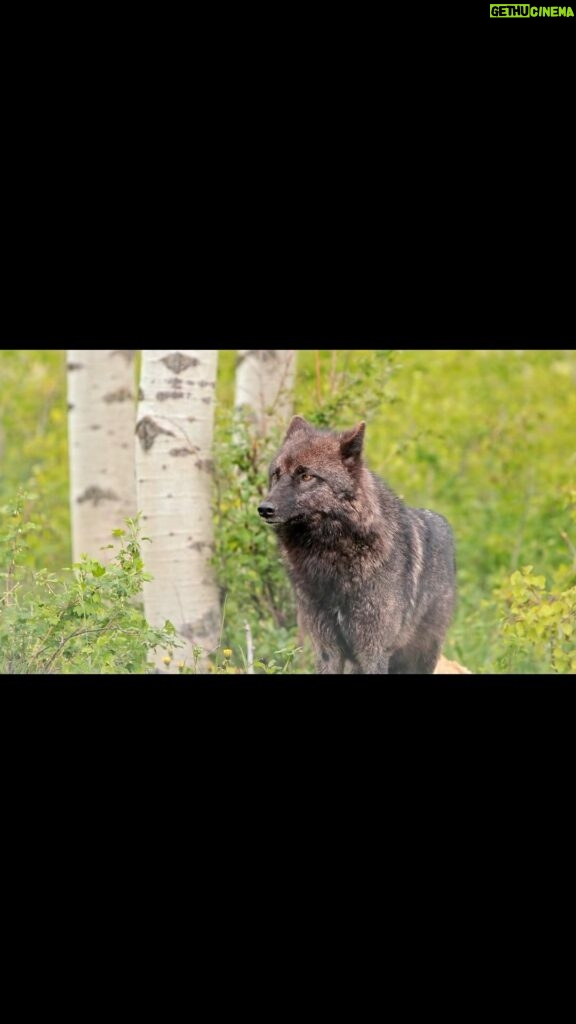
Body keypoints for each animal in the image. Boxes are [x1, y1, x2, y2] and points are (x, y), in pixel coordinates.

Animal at [258, 411, 455, 675]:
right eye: (276, 474)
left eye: (306, 476)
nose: (264, 509)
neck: (331, 557)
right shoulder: (327, 649)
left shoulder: (373, 651)